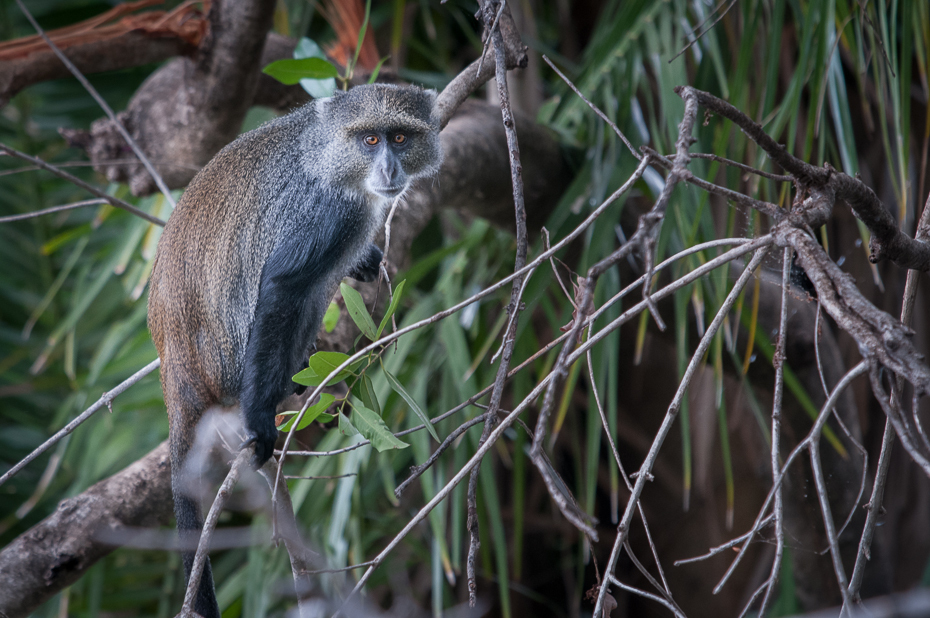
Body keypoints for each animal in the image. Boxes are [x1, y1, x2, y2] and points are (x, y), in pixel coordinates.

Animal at [148, 84, 442, 616]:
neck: (325, 147)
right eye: (370, 140)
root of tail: (174, 364)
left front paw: (367, 260)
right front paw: (260, 418)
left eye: (400, 137)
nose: (390, 170)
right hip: (230, 359)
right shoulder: (330, 212)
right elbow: (283, 286)